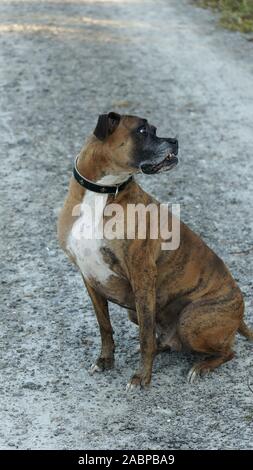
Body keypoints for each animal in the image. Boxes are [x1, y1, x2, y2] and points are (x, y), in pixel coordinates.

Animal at [57, 112, 253, 388]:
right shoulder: (89, 276)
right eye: (142, 131)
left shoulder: (142, 276)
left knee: (228, 351)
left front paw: (142, 377)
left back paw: (201, 367)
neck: (102, 192)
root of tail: (240, 315)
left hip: (191, 319)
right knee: (167, 341)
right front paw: (105, 361)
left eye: (154, 129)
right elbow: (105, 326)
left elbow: (145, 336)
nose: (174, 140)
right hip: (138, 312)